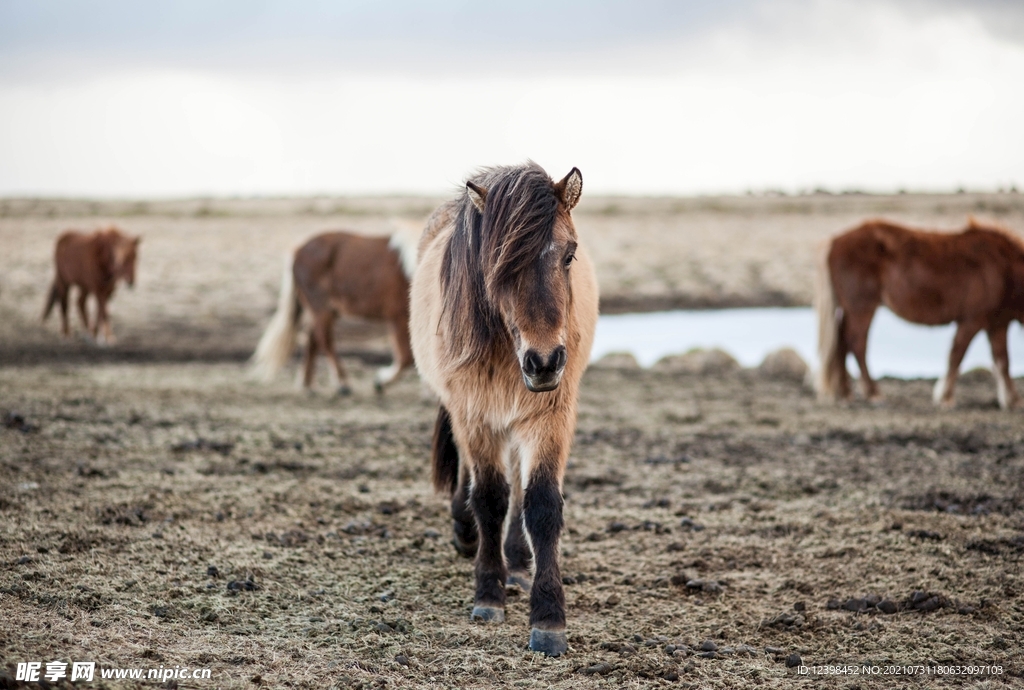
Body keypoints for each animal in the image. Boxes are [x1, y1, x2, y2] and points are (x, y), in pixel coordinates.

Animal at [248, 225, 419, 393]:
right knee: (324, 340)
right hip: (321, 308)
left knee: (313, 339)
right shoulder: (399, 316)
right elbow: (407, 357)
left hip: (328, 310)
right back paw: (342, 383)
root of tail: (298, 251)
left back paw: (308, 384)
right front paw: (381, 382)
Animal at [409, 162, 598, 655]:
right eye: (500, 264)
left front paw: (549, 618)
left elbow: (541, 503)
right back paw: (468, 533)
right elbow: (490, 497)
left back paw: (516, 561)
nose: (545, 361)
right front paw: (488, 595)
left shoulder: (550, 416)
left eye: (569, 255)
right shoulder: (474, 415)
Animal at [815, 218, 1024, 405]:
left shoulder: (998, 324)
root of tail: (835, 241)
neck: (1002, 267)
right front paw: (945, 397)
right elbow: (957, 355)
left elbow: (1003, 360)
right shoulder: (972, 320)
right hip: (862, 308)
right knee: (856, 343)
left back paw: (845, 393)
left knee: (842, 343)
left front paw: (1012, 400)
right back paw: (872, 393)